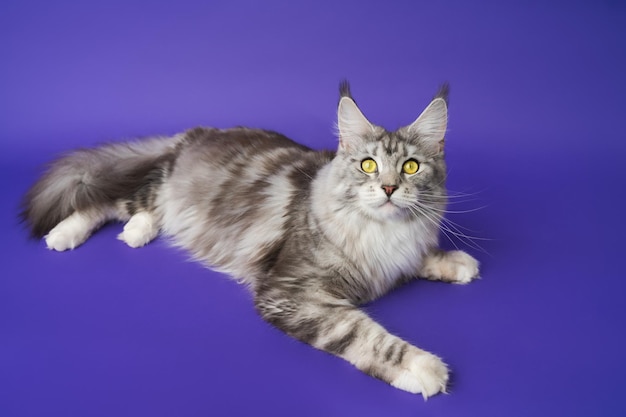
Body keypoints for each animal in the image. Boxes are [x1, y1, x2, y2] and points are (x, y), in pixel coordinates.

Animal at [19, 81, 478, 396]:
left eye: (411, 167)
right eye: (368, 165)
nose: (388, 188)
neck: (382, 231)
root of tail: (195, 132)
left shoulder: (397, 257)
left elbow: (421, 256)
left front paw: (456, 262)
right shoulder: (292, 292)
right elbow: (363, 334)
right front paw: (422, 367)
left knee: (141, 212)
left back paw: (137, 232)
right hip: (155, 188)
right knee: (105, 202)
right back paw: (65, 234)